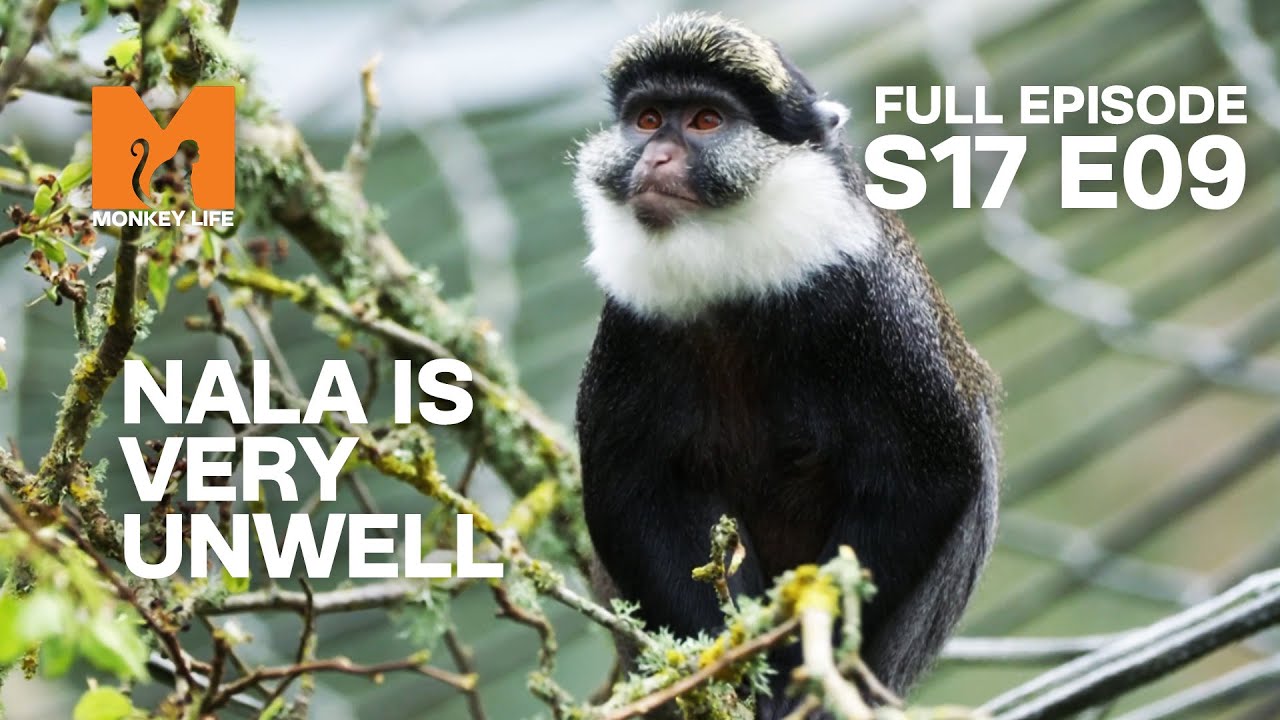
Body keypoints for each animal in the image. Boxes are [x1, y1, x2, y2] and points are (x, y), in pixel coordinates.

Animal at [572, 12, 1000, 719]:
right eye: (647, 118)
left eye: (706, 121)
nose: (656, 157)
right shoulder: (632, 324)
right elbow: (631, 493)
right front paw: (727, 668)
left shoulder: (865, 308)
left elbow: (927, 477)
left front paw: (792, 665)